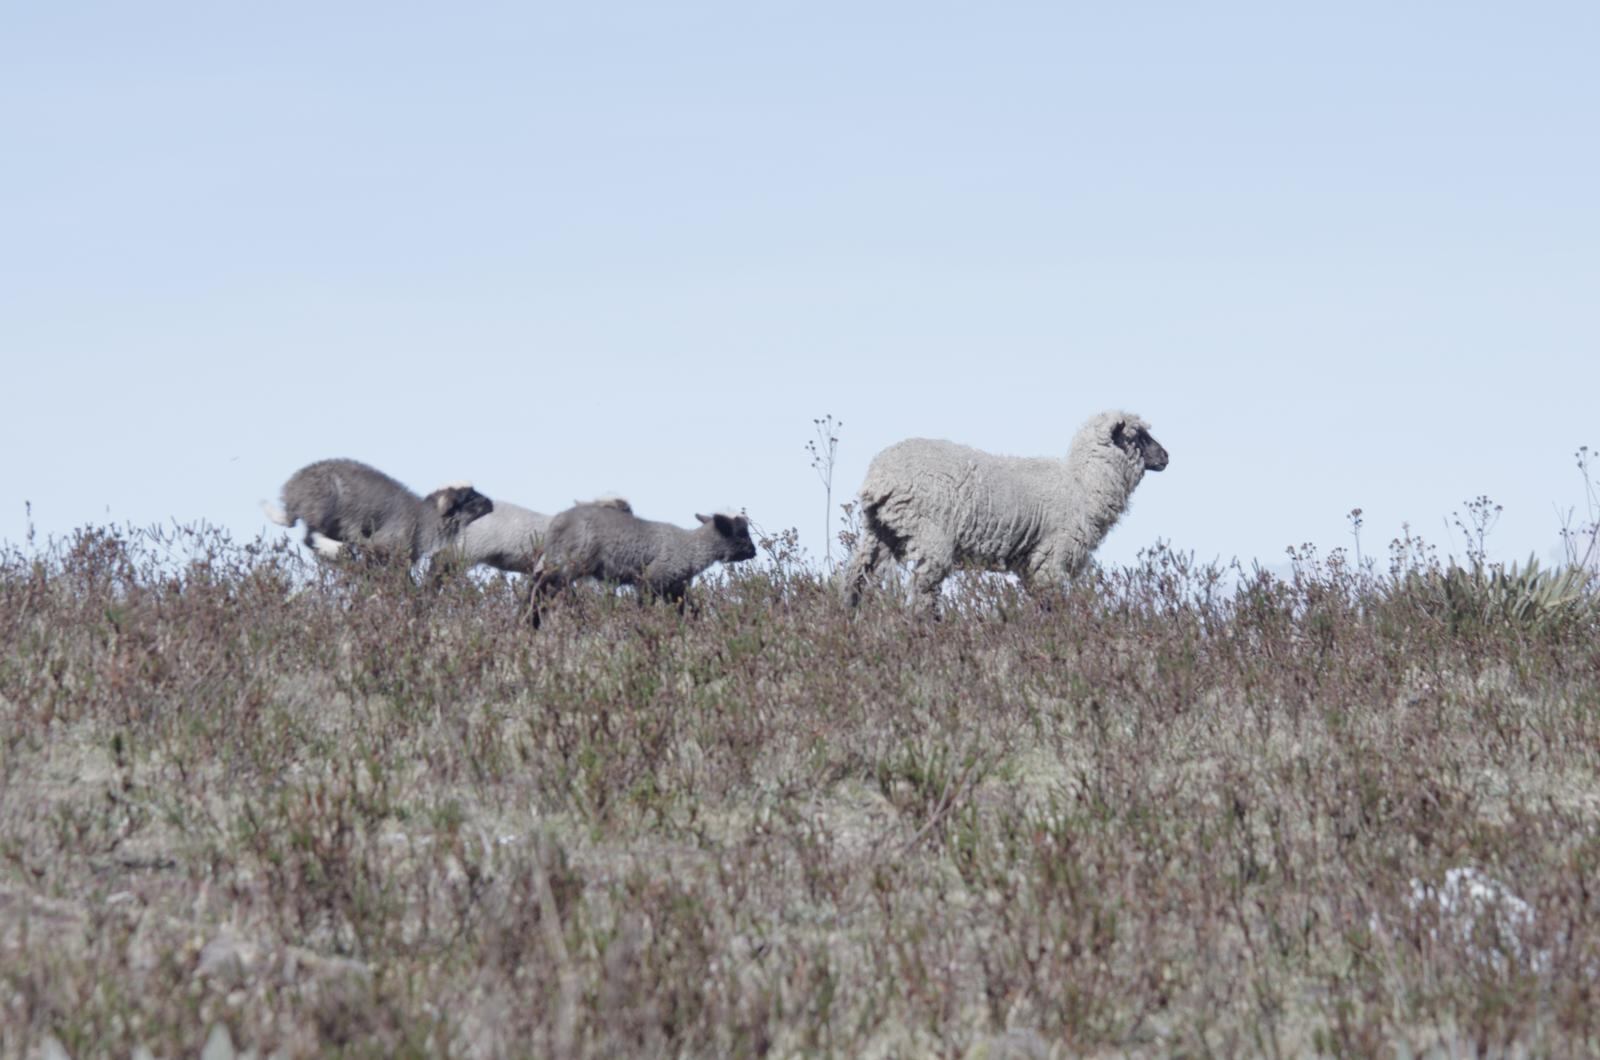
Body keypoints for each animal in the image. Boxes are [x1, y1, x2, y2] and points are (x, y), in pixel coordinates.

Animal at [263, 458, 494, 569]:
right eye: (468, 498)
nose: (490, 504)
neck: (424, 518)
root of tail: (291, 493)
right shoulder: (387, 546)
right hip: (324, 503)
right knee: (310, 536)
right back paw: (338, 550)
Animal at [526, 503, 757, 624]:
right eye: (741, 534)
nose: (754, 552)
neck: (691, 547)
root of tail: (556, 523)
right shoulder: (650, 581)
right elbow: (644, 608)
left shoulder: (675, 588)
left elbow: (691, 611)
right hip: (568, 564)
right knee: (540, 588)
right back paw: (531, 621)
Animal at [843, 410, 1168, 612]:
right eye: (1138, 436)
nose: (1166, 457)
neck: (1083, 485)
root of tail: (879, 476)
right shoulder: (1051, 558)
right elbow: (1052, 604)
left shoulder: (1031, 563)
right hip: (929, 534)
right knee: (923, 591)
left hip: (881, 531)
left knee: (858, 580)